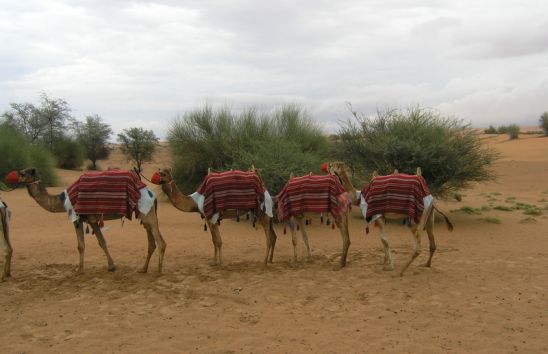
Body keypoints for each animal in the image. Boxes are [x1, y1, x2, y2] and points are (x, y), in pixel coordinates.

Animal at [6, 168, 165, 274]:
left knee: (160, 241)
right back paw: (143, 269)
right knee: (151, 241)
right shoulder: (92, 220)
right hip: (144, 214)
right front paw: (111, 266)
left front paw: (79, 269)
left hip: (148, 213)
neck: (63, 200)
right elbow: (102, 242)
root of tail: (153, 194)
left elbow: (81, 245)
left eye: (22, 173)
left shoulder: (79, 218)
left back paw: (158, 271)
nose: (10, 177)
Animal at [322, 162, 454, 276]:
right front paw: (385, 261)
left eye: (334, 165)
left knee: (417, 247)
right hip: (429, 216)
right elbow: (383, 241)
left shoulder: (378, 215)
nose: (328, 166)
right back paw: (426, 264)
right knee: (432, 243)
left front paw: (390, 266)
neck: (359, 197)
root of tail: (430, 197)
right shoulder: (383, 217)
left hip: (417, 218)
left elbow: (384, 240)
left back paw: (400, 271)